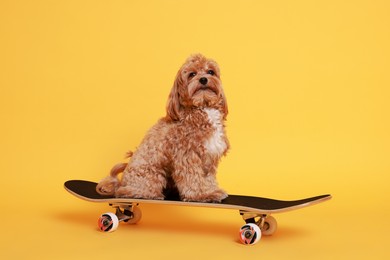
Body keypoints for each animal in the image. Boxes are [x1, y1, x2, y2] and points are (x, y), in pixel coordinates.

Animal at [96, 53, 229, 203]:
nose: (203, 79)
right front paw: (202, 195)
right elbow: (193, 178)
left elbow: (208, 178)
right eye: (192, 74)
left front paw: (212, 191)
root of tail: (121, 183)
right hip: (151, 174)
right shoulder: (187, 156)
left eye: (211, 72)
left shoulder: (210, 157)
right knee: (129, 191)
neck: (203, 108)